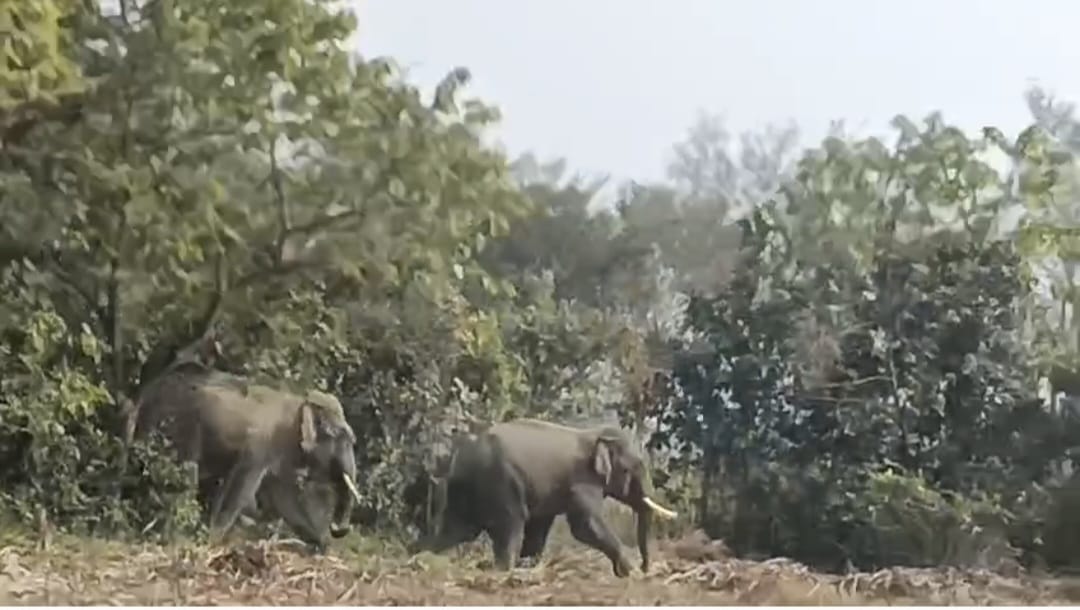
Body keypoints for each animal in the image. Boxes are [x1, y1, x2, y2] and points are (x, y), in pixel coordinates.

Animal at [128, 362, 363, 551]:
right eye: (340, 436)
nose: (337, 528)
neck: (298, 402)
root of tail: (145, 394)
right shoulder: (259, 446)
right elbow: (241, 491)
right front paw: (213, 541)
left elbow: (283, 499)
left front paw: (321, 546)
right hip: (176, 427)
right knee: (183, 476)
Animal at [410, 418, 678, 577]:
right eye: (634, 468)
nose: (645, 568)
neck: (594, 434)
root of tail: (462, 456)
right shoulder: (582, 481)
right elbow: (584, 525)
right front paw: (629, 571)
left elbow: (540, 526)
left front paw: (530, 565)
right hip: (502, 484)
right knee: (509, 525)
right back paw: (503, 571)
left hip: (462, 490)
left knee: (458, 529)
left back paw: (422, 560)